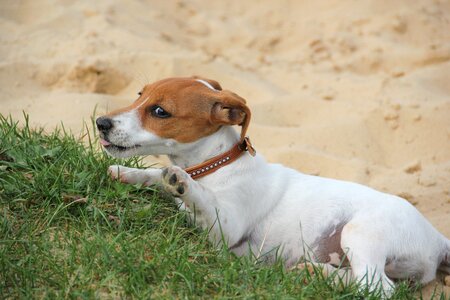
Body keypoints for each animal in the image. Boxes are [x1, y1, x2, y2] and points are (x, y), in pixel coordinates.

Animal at [96, 76, 450, 296]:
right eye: (139, 95)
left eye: (160, 111)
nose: (101, 123)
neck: (217, 163)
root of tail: (437, 239)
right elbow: (156, 174)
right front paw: (126, 172)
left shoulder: (225, 228)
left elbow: (199, 196)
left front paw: (180, 182)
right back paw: (316, 273)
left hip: (361, 231)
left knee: (378, 287)